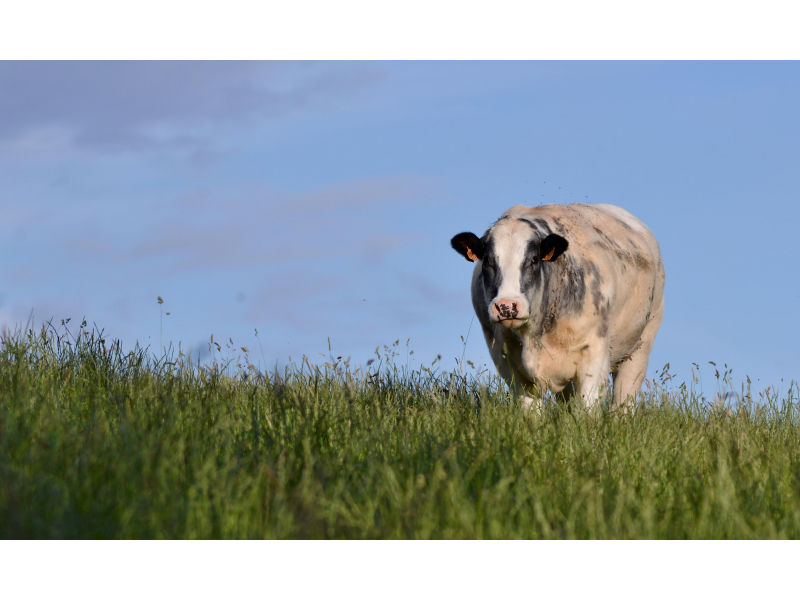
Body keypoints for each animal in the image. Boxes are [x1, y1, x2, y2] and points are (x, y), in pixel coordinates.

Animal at [454, 204, 664, 410]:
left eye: (534, 259)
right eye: (488, 261)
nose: (507, 306)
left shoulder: (595, 356)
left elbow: (588, 408)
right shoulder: (506, 361)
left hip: (640, 347)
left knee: (623, 402)